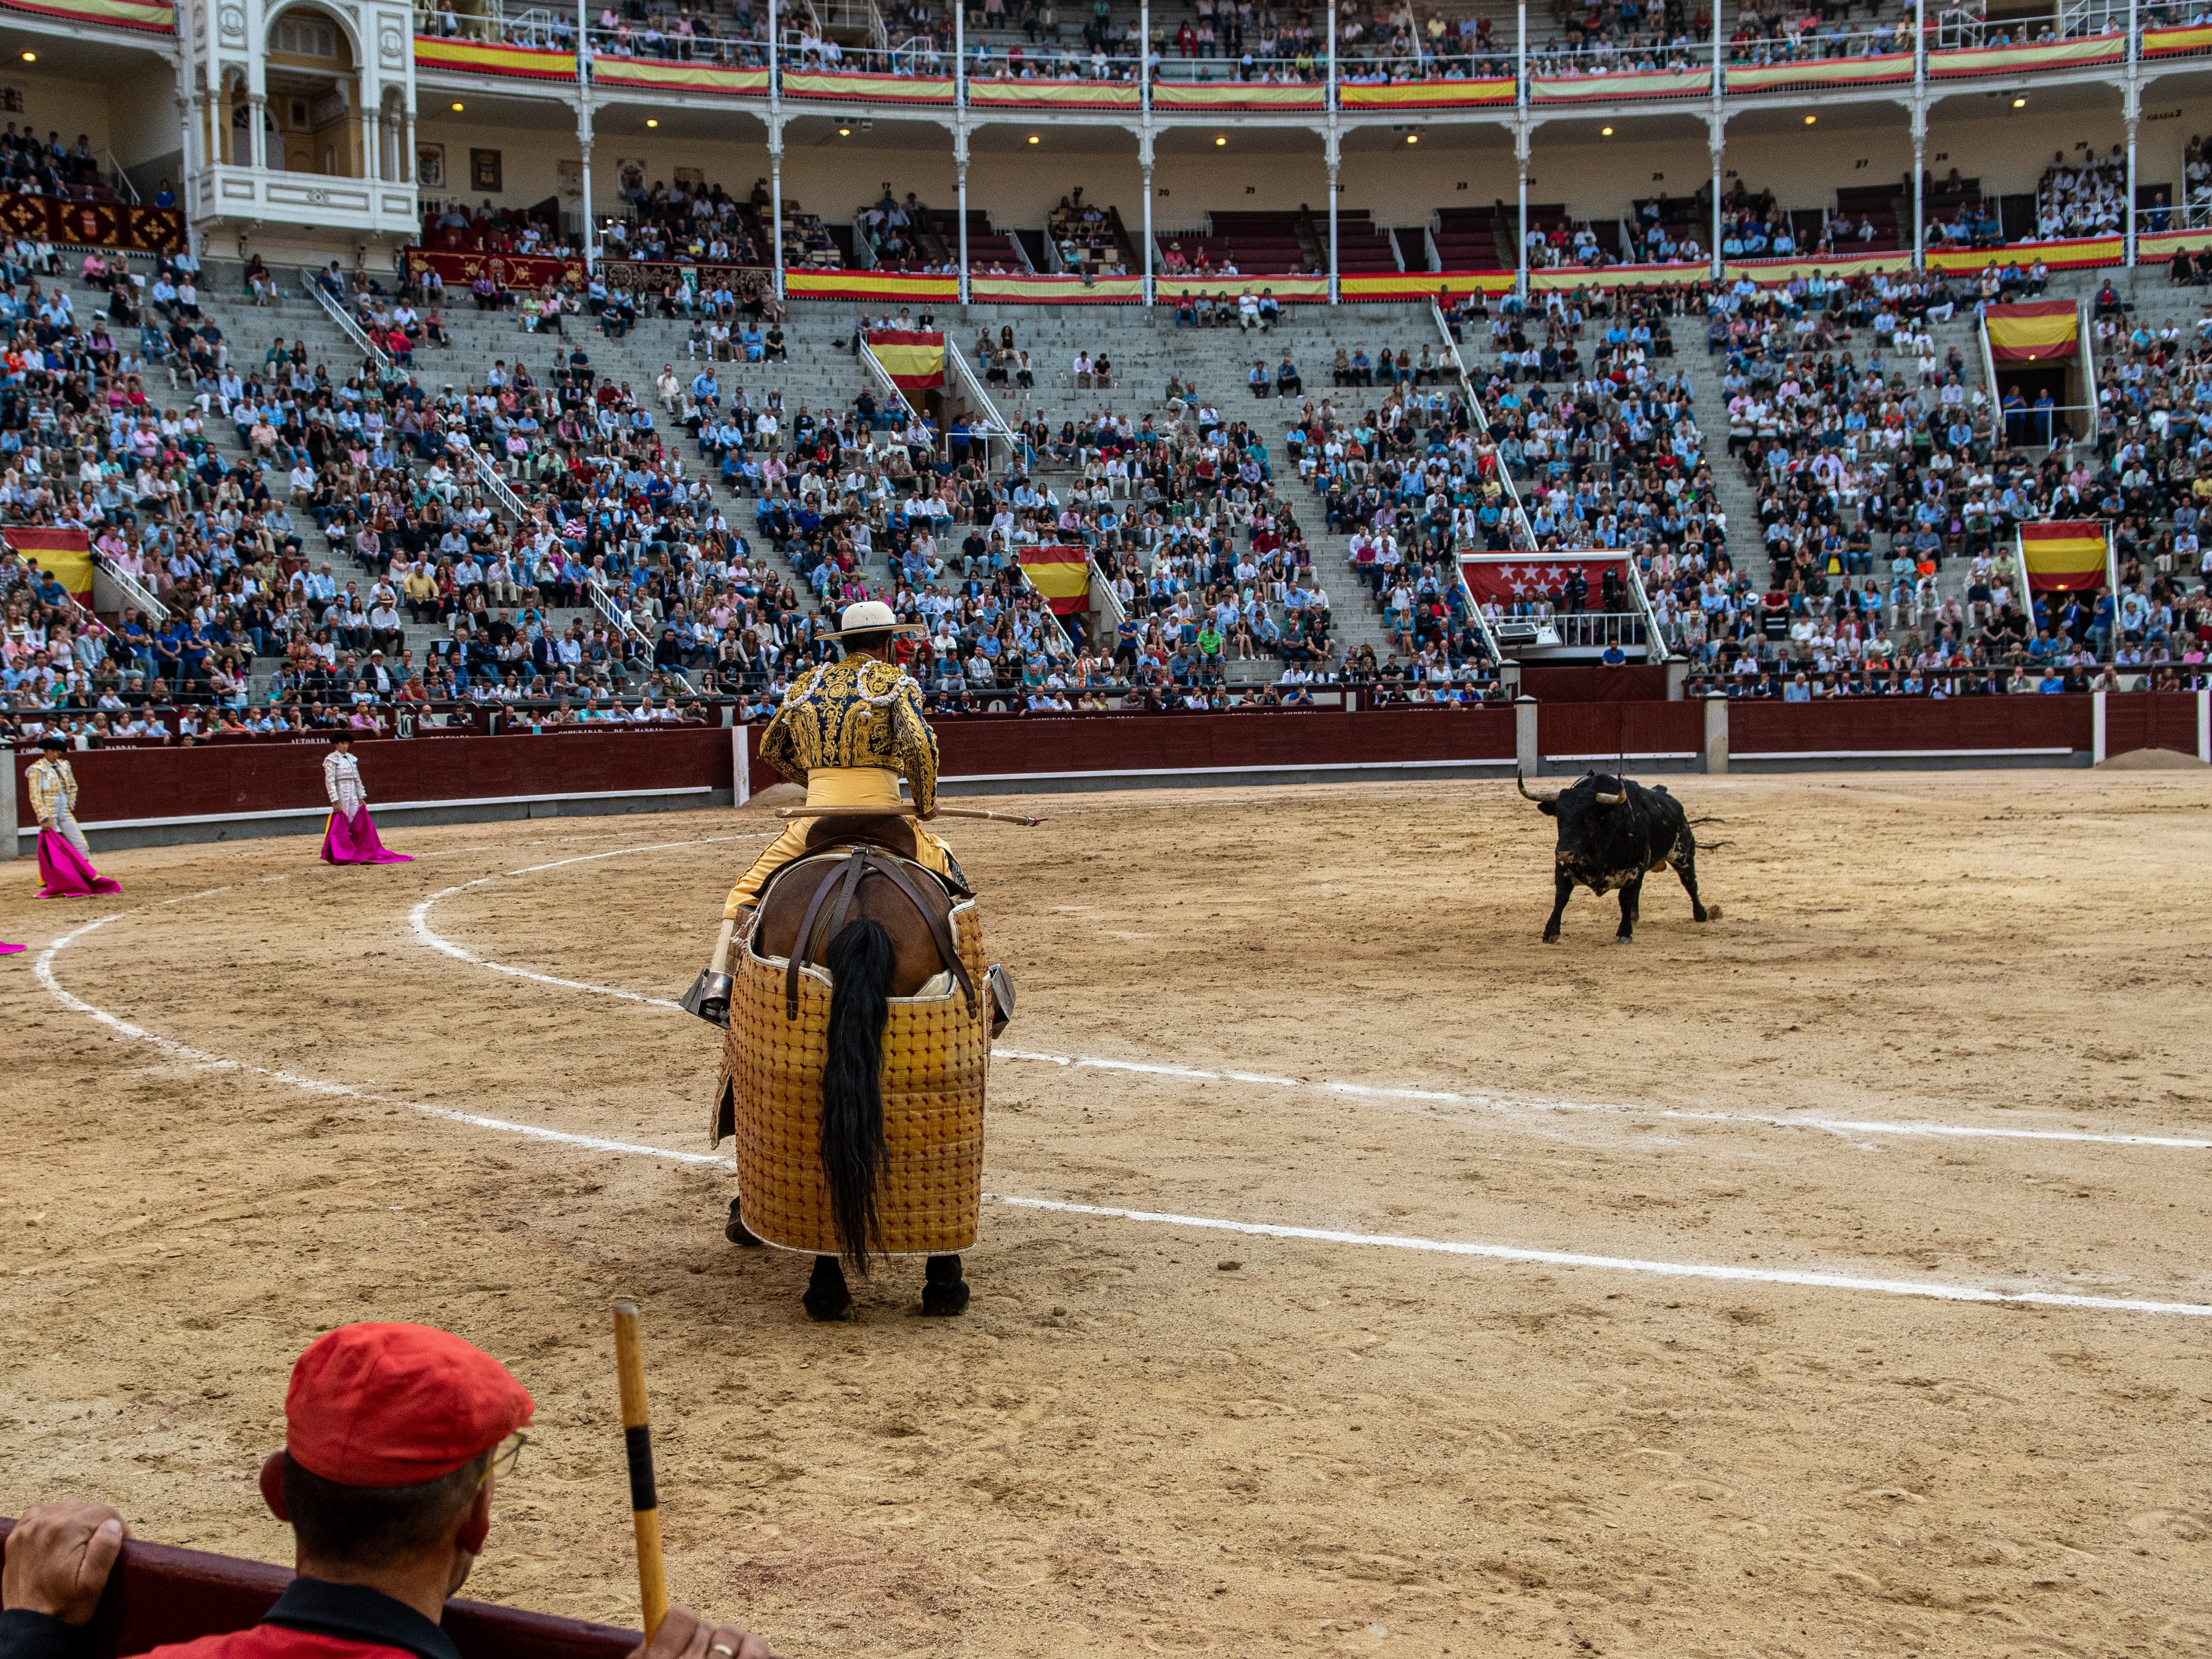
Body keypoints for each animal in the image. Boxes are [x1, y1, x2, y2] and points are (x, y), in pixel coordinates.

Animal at [1521, 774, 1725, 942]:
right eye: (1559, 817)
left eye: (1589, 818)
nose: (1564, 852)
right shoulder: (1563, 869)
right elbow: (1561, 897)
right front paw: (1551, 932)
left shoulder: (1634, 870)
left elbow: (1625, 899)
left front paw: (1624, 933)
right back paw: (1635, 917)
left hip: (1683, 854)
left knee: (1690, 884)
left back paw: (1701, 914)